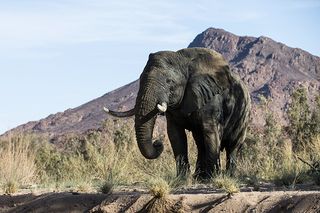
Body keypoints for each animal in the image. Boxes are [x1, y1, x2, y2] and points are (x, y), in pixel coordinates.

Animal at [104, 47, 251, 180]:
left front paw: (211, 178)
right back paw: (199, 177)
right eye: (140, 79)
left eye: (170, 82)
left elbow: (210, 132)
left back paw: (228, 176)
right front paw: (182, 179)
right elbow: (175, 135)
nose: (157, 143)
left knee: (232, 146)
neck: (184, 59)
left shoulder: (211, 99)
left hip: (243, 115)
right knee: (200, 143)